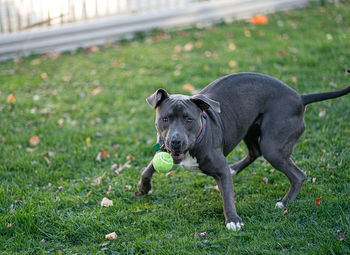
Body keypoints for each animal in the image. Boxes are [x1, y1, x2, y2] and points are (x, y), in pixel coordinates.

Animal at [138, 71, 348, 231]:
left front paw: (233, 220)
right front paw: (144, 188)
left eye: (189, 119)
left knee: (298, 175)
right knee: (255, 152)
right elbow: (147, 169)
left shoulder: (220, 169)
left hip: (273, 146)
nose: (175, 141)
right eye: (165, 119)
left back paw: (284, 202)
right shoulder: (162, 150)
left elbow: (227, 197)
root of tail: (299, 97)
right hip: (250, 129)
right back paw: (235, 169)